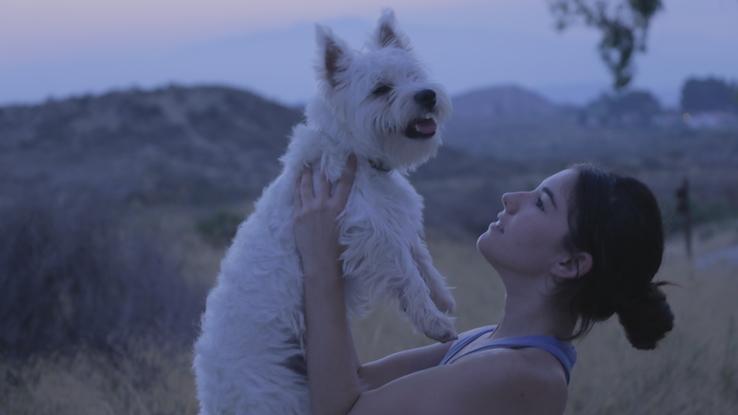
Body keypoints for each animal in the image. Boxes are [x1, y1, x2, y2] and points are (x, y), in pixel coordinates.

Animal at [190, 10, 454, 415]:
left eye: (414, 75)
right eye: (380, 89)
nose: (428, 95)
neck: (357, 155)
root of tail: (213, 397)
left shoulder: (394, 220)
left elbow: (421, 258)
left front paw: (442, 297)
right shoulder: (369, 232)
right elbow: (408, 275)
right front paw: (435, 322)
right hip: (277, 396)